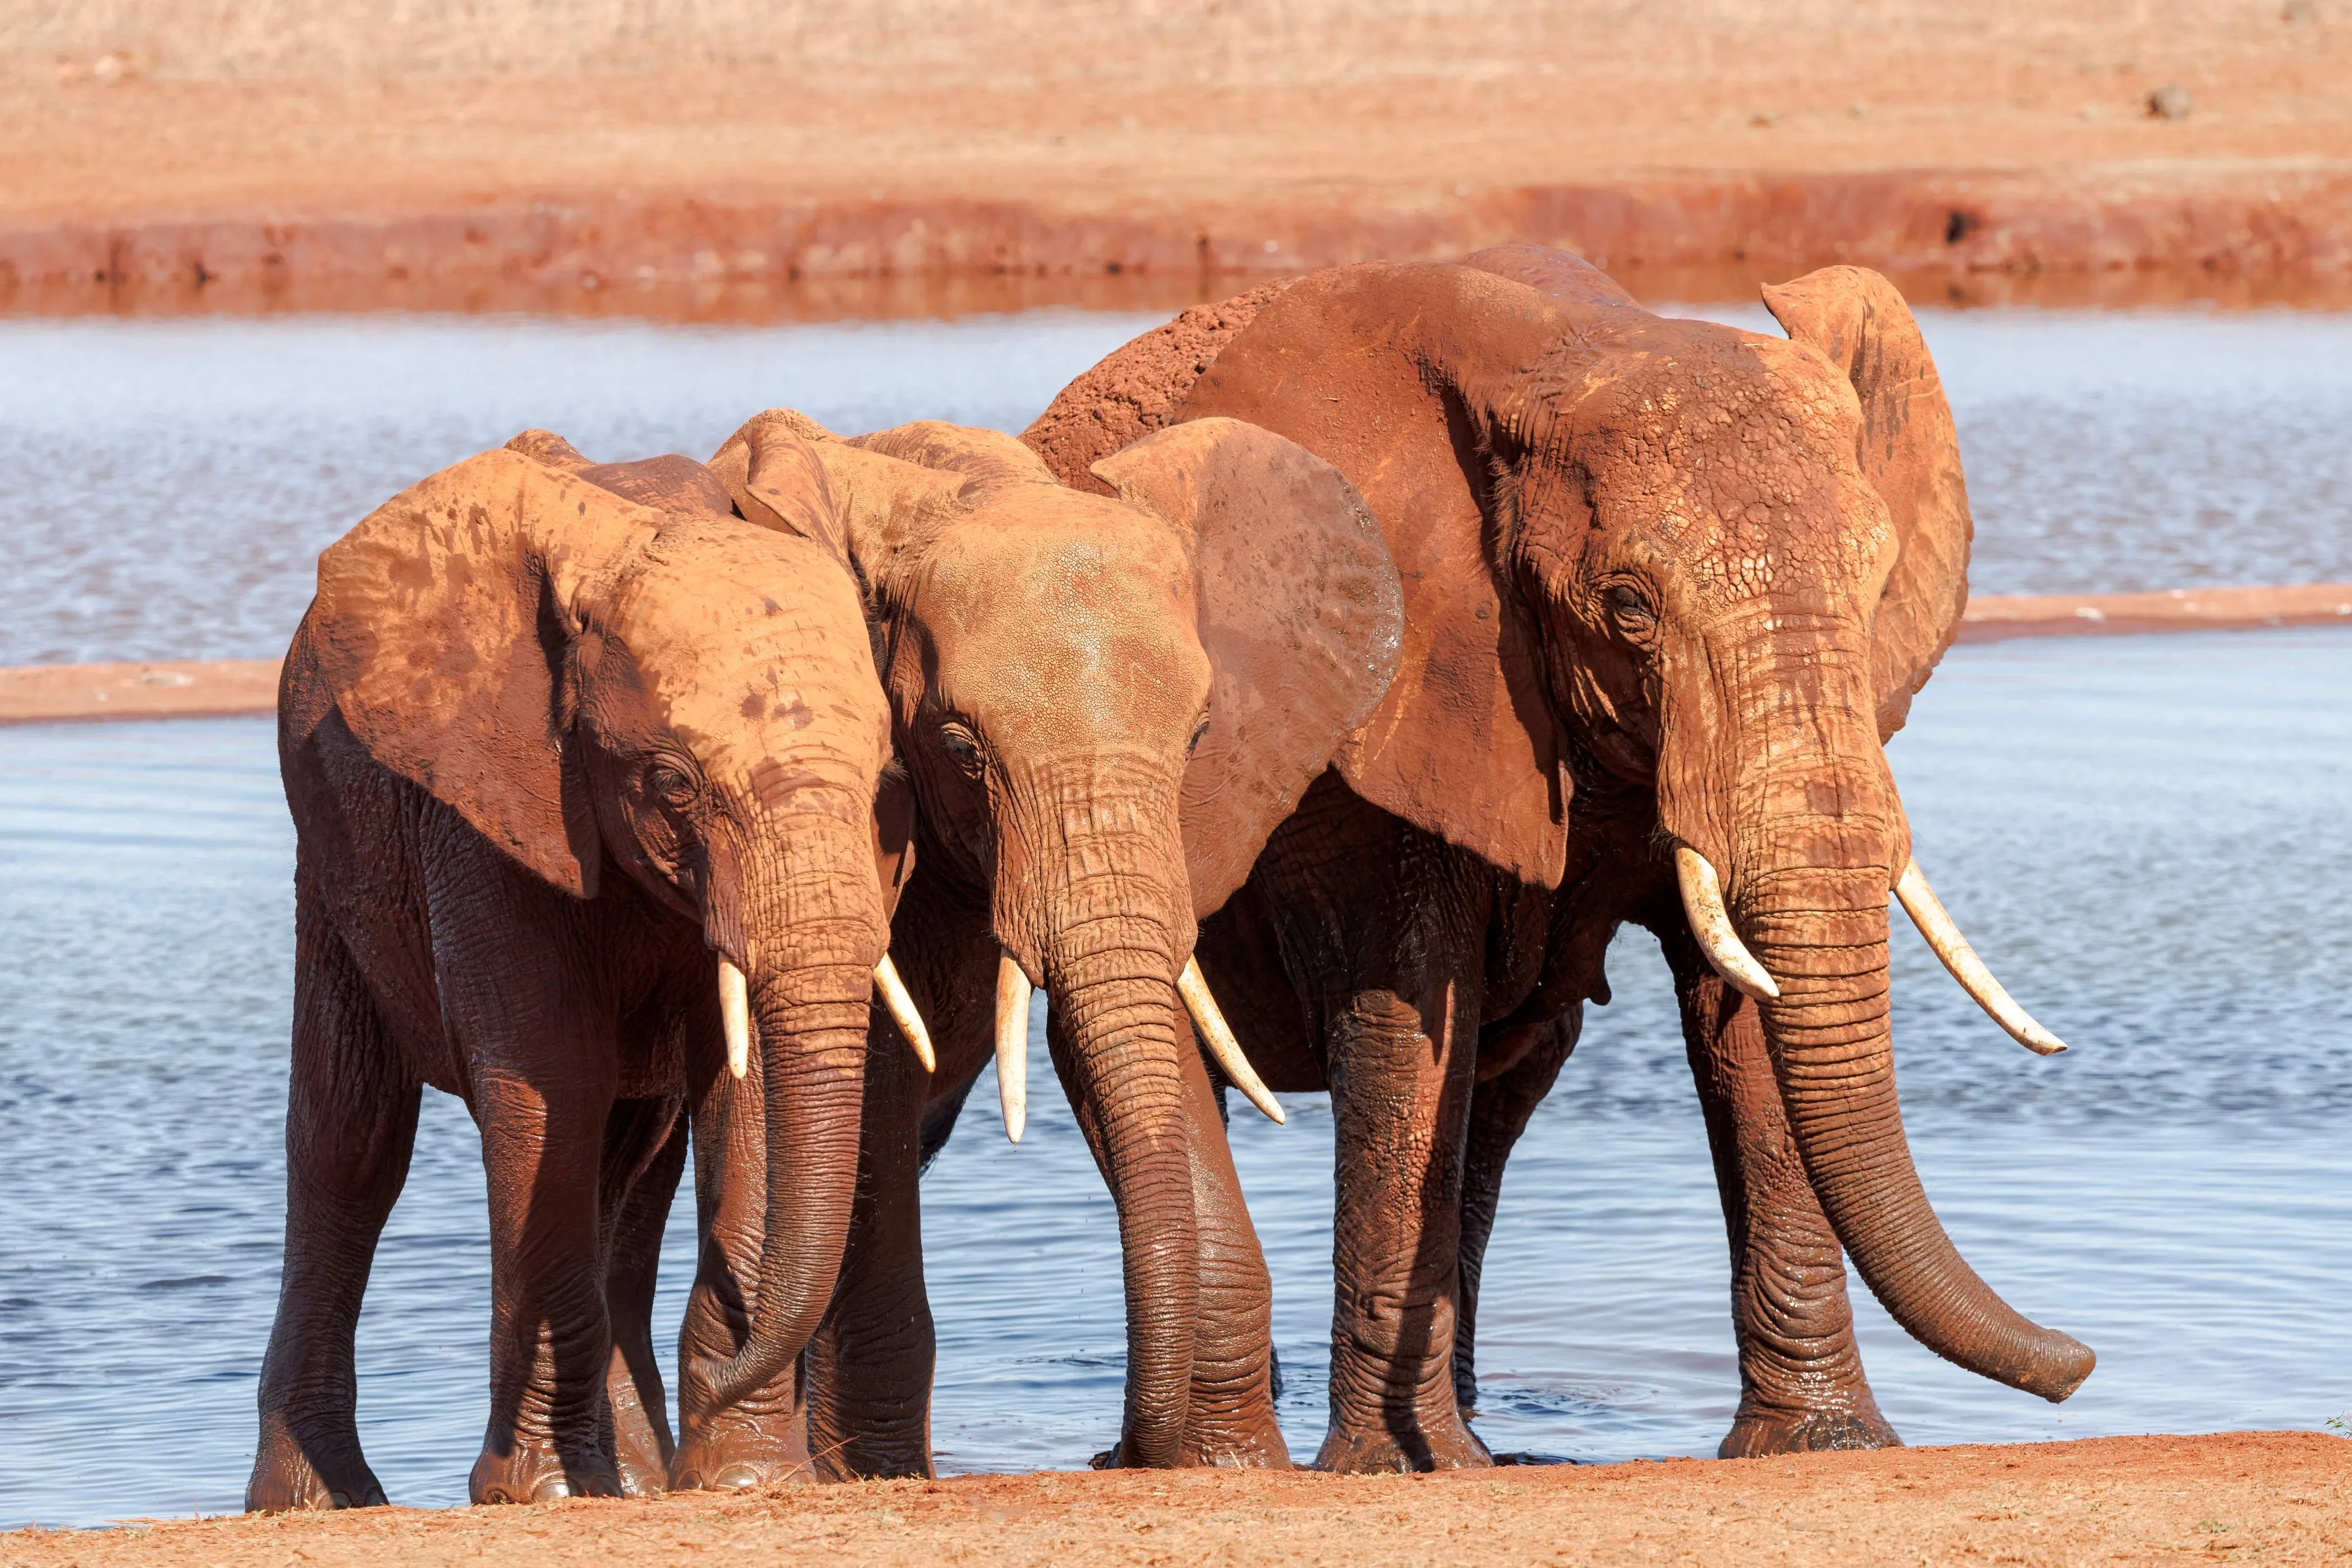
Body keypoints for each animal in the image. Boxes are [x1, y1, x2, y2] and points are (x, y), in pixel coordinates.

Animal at [250, 430, 927, 1505]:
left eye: (883, 783)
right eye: (674, 783)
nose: (742, 1357)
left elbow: (746, 1089)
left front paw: (747, 1478)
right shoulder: (486, 808)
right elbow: (548, 1082)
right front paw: (541, 1492)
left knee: (630, 1155)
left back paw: (639, 1478)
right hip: (330, 858)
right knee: (349, 1144)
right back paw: (318, 1501)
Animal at [687, 411, 1402, 1476]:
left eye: (1198, 737)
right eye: (960, 748)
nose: (1115, 1455)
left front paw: (1231, 1461)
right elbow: (870, 1091)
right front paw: (879, 1472)